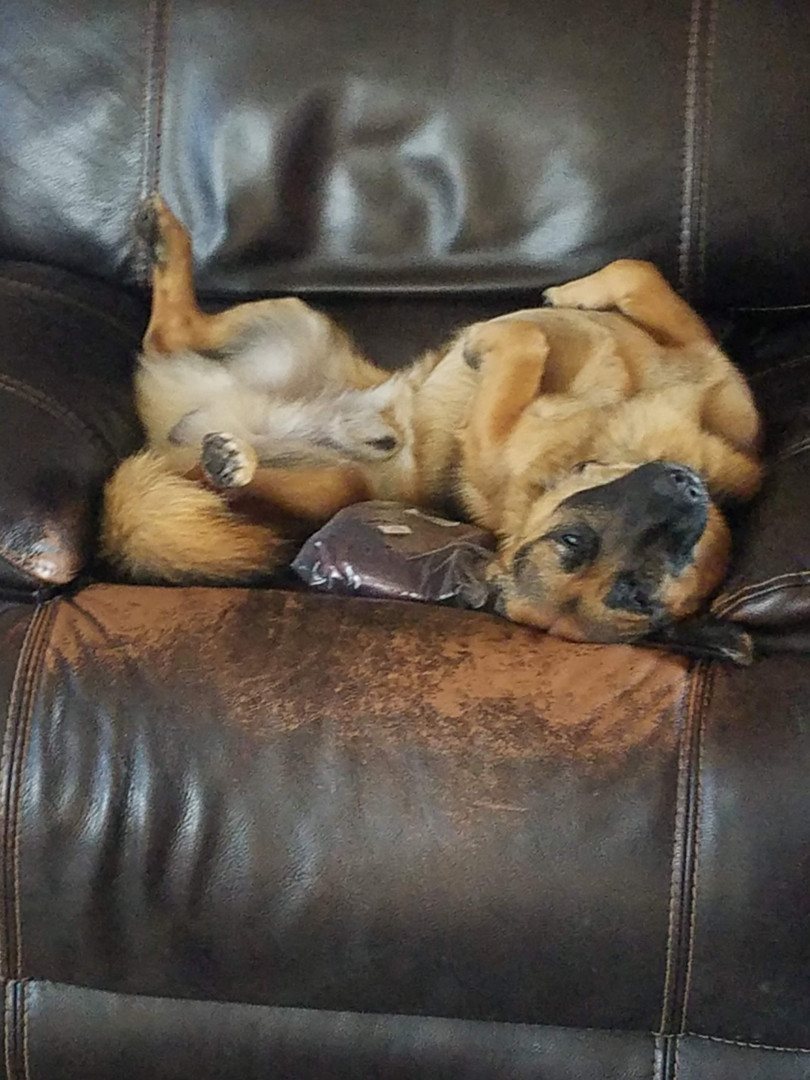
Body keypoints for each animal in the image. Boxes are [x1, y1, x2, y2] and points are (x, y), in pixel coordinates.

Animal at [101, 195, 762, 658]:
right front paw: (563, 299)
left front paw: (510, 335)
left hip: (324, 484)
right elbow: (636, 275)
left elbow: (555, 331)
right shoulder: (705, 368)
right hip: (294, 317)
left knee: (194, 420)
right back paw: (167, 240)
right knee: (172, 331)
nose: (685, 486)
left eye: (642, 591)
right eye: (573, 542)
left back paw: (229, 459)